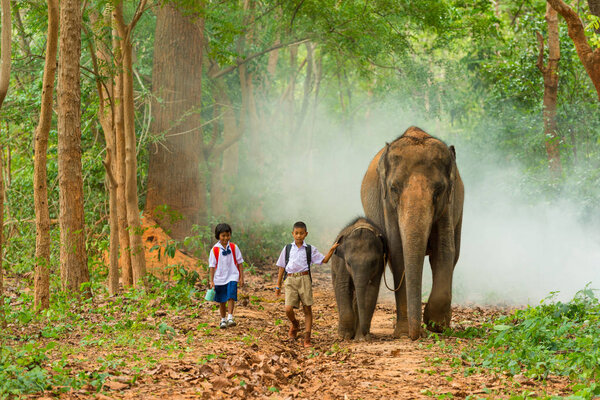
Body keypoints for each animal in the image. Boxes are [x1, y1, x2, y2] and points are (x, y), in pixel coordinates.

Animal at [360, 126, 464, 340]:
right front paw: (402, 333)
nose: (416, 335)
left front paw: (436, 325)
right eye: (394, 188)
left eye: (439, 190)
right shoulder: (387, 205)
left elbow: (444, 251)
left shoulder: (448, 205)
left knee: (455, 253)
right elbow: (397, 252)